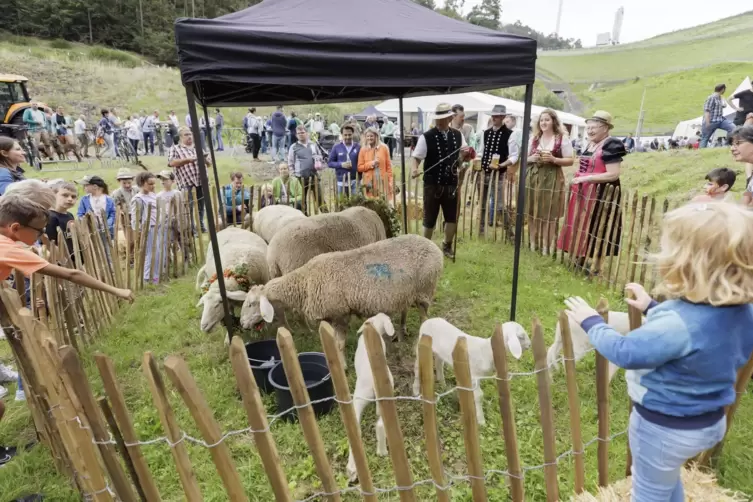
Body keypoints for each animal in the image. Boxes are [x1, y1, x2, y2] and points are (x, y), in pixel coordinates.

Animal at [239, 233, 440, 362]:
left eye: (251, 304)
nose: (241, 324)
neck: (304, 282)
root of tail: (433, 245)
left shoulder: (340, 314)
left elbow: (340, 344)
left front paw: (342, 366)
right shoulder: (331, 316)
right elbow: (334, 344)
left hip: (425, 289)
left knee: (424, 317)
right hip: (407, 293)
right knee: (406, 309)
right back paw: (401, 332)